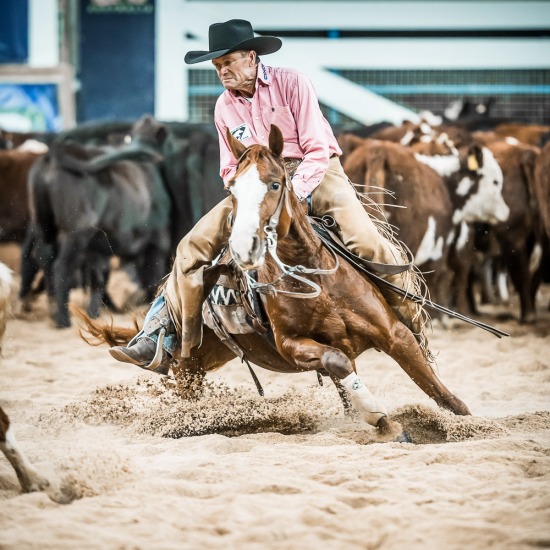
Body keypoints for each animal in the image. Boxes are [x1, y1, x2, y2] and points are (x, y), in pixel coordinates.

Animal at [78, 125, 470, 440]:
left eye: (275, 183)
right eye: (232, 190)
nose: (241, 243)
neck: (314, 277)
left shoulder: (394, 333)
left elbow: (435, 386)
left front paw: (467, 424)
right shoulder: (291, 345)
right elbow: (338, 362)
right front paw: (383, 422)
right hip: (188, 365)